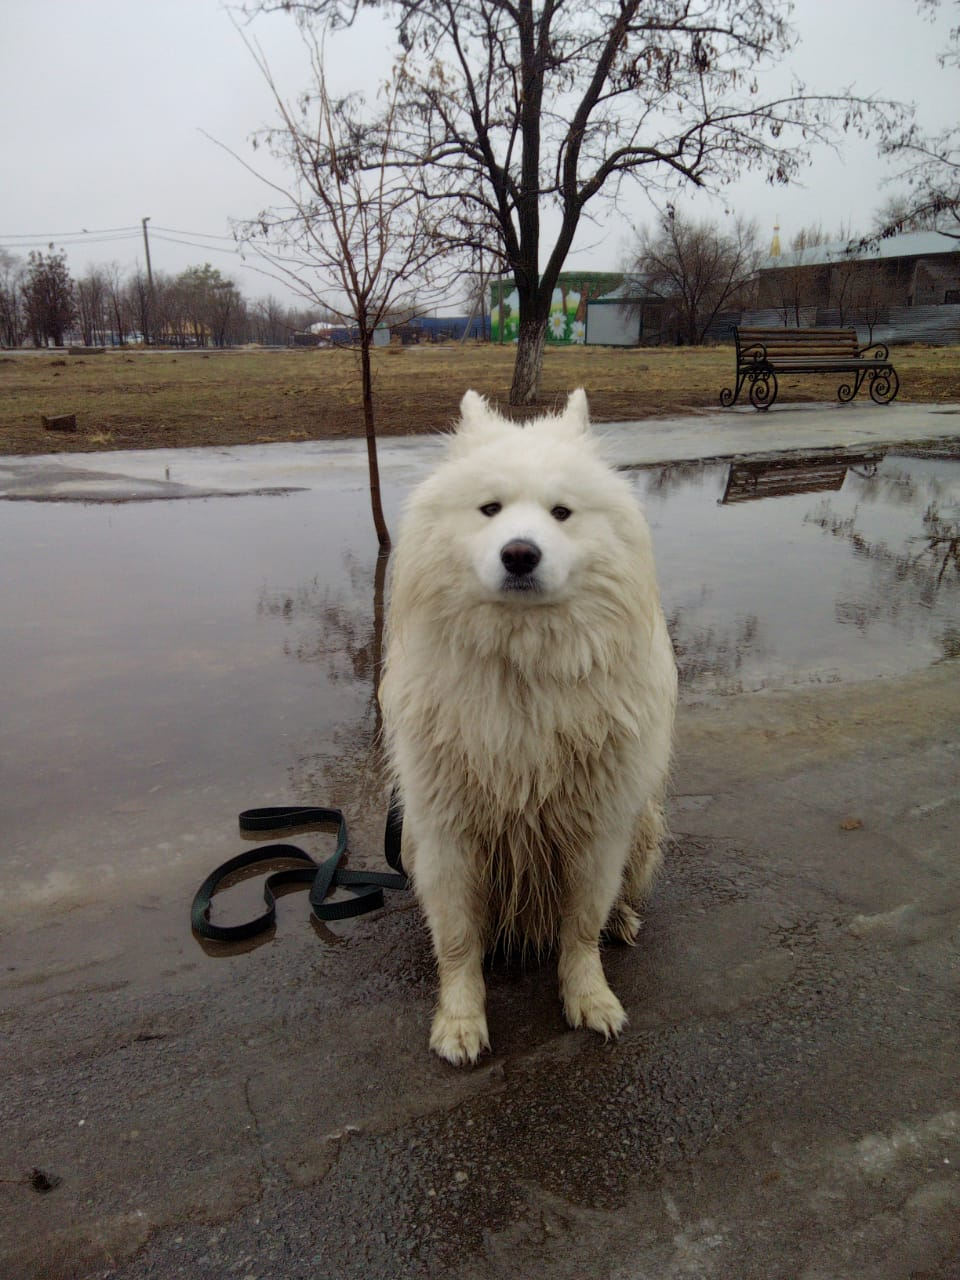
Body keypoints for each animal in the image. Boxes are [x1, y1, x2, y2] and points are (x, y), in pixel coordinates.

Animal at [378, 384, 680, 1064]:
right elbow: (458, 940)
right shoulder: (448, 833)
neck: (523, 673)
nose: (520, 552)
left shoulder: (596, 830)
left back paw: (624, 919)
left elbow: (581, 929)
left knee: (620, 898)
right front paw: (460, 1020)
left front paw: (589, 998)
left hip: (643, 825)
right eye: (489, 509)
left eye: (561, 513)